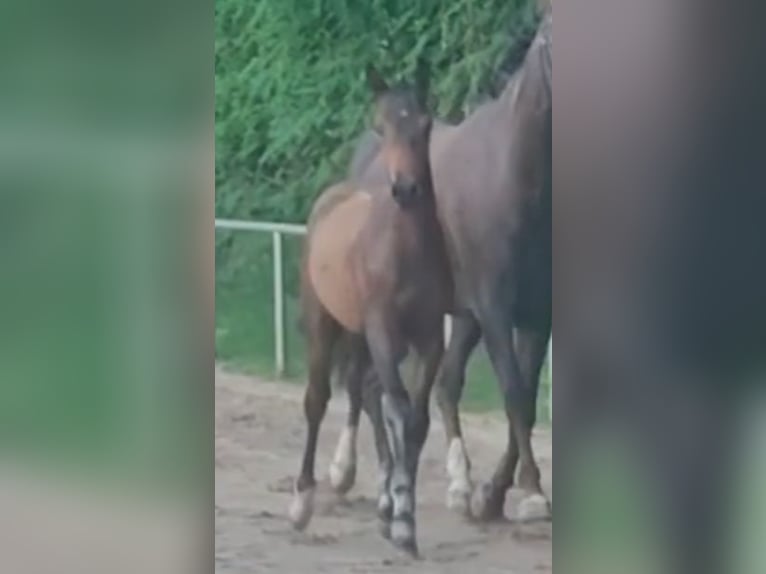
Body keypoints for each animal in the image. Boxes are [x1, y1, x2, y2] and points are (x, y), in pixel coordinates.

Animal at [292, 63, 452, 560]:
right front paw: (402, 519)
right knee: (319, 399)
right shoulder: (383, 331)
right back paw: (302, 502)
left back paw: (380, 502)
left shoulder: (428, 340)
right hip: (324, 323)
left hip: (361, 335)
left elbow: (415, 420)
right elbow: (398, 409)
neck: (405, 250)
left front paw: (402, 515)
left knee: (365, 391)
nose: (406, 188)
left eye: (425, 125)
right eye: (381, 127)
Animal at [346, 10, 552, 520]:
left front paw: (493, 493)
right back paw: (355, 475)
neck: (515, 173)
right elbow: (514, 393)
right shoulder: (494, 307)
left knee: (440, 383)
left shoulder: (536, 312)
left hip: (455, 316)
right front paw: (530, 492)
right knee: (365, 385)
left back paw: (457, 483)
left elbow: (526, 398)